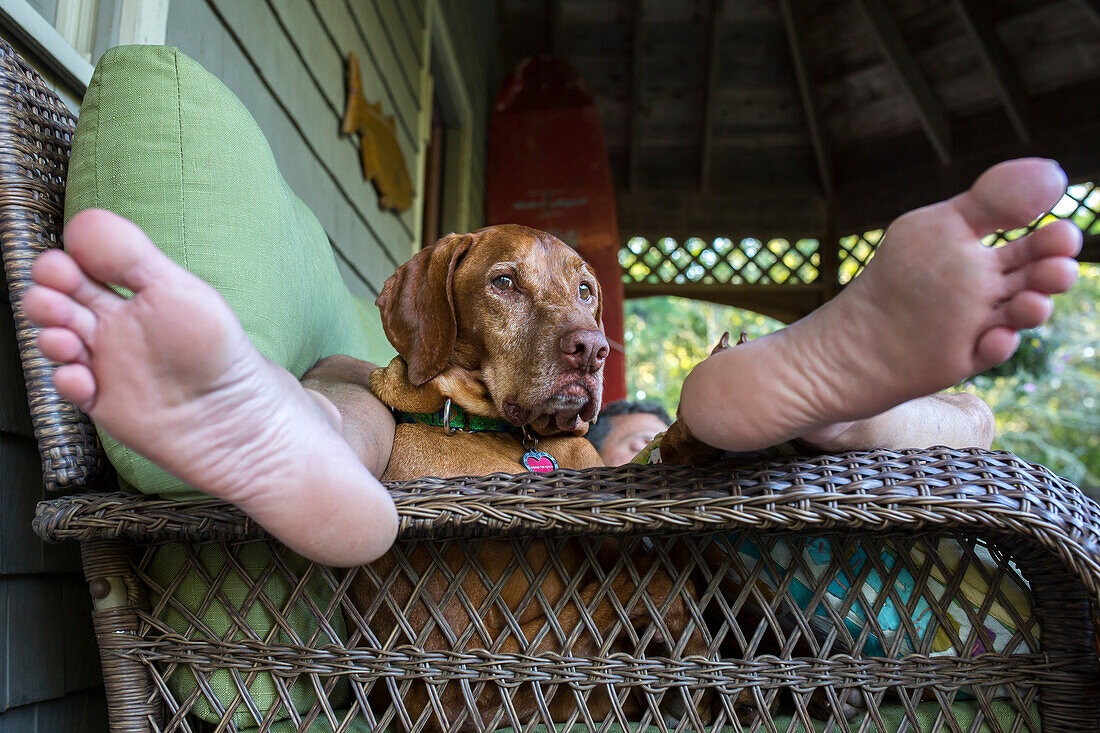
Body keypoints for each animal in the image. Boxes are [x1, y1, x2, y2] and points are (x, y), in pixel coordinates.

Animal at [343, 225, 726, 726]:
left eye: (584, 290)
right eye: (504, 283)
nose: (593, 350)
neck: (520, 441)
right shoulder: (449, 678)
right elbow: (618, 592)